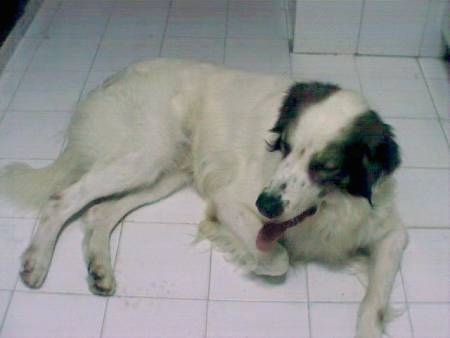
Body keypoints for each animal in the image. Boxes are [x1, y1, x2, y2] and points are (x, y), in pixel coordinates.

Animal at [0, 58, 408, 338]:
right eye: (285, 147)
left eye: (324, 167)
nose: (265, 206)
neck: (328, 210)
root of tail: (114, 77)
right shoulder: (229, 200)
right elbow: (278, 259)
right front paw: (250, 255)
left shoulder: (392, 233)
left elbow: (375, 300)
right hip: (143, 156)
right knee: (62, 198)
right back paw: (37, 262)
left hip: (163, 174)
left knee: (99, 212)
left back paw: (99, 268)